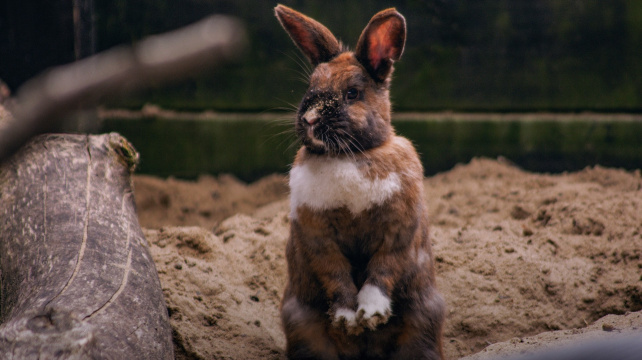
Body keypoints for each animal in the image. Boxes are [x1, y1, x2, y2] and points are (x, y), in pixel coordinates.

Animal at [274, 4, 444, 360]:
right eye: (310, 87)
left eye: (352, 93)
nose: (309, 119)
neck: (349, 156)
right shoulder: (317, 235)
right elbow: (335, 273)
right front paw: (348, 319)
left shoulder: (398, 230)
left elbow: (383, 269)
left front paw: (372, 314)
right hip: (303, 329)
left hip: (423, 327)